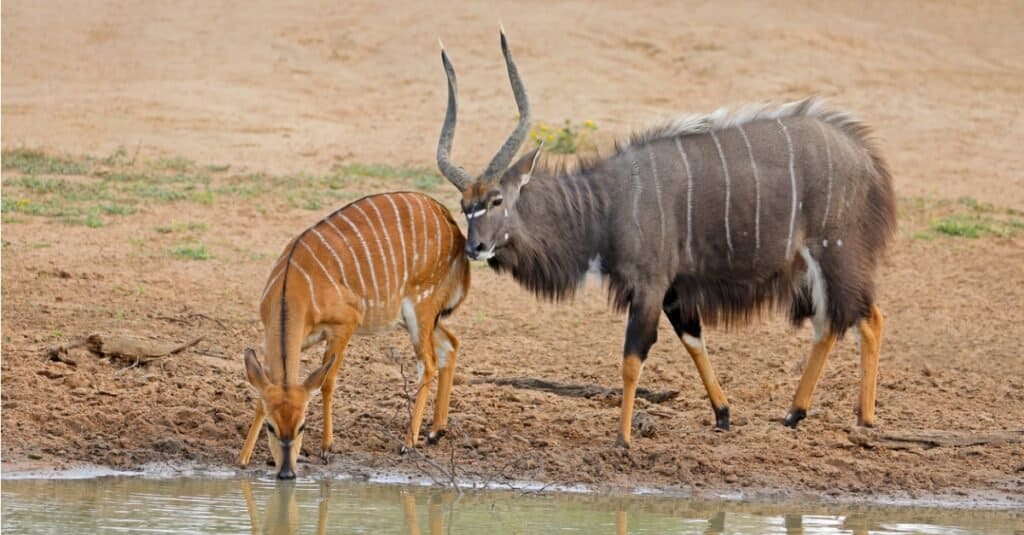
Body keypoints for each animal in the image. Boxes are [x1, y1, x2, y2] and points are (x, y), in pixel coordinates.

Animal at [239, 190, 468, 475]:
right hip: (414, 315)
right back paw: (436, 432)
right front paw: (243, 457)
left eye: (303, 425)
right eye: (271, 427)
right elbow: (264, 391)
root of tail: (446, 217)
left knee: (428, 362)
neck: (293, 287)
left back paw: (408, 443)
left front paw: (327, 448)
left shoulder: (345, 324)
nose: (286, 472)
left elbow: (327, 381)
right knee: (451, 343)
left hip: (420, 304)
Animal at [440, 32, 897, 444]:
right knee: (836, 320)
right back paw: (800, 413)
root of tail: (865, 157)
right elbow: (694, 341)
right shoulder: (676, 290)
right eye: (464, 206)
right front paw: (722, 414)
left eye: (496, 199)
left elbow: (632, 358)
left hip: (834, 251)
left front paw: (623, 438)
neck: (606, 203)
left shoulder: (650, 284)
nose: (475, 247)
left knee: (864, 317)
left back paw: (859, 417)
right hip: (811, 263)